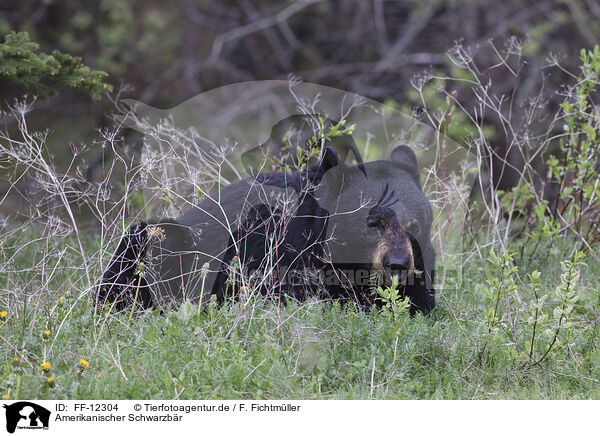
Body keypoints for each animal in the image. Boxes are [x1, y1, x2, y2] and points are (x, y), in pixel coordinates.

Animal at [99, 143, 436, 316]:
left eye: (414, 225)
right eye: (372, 224)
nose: (397, 264)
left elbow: (420, 297)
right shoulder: (275, 243)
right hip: (168, 242)